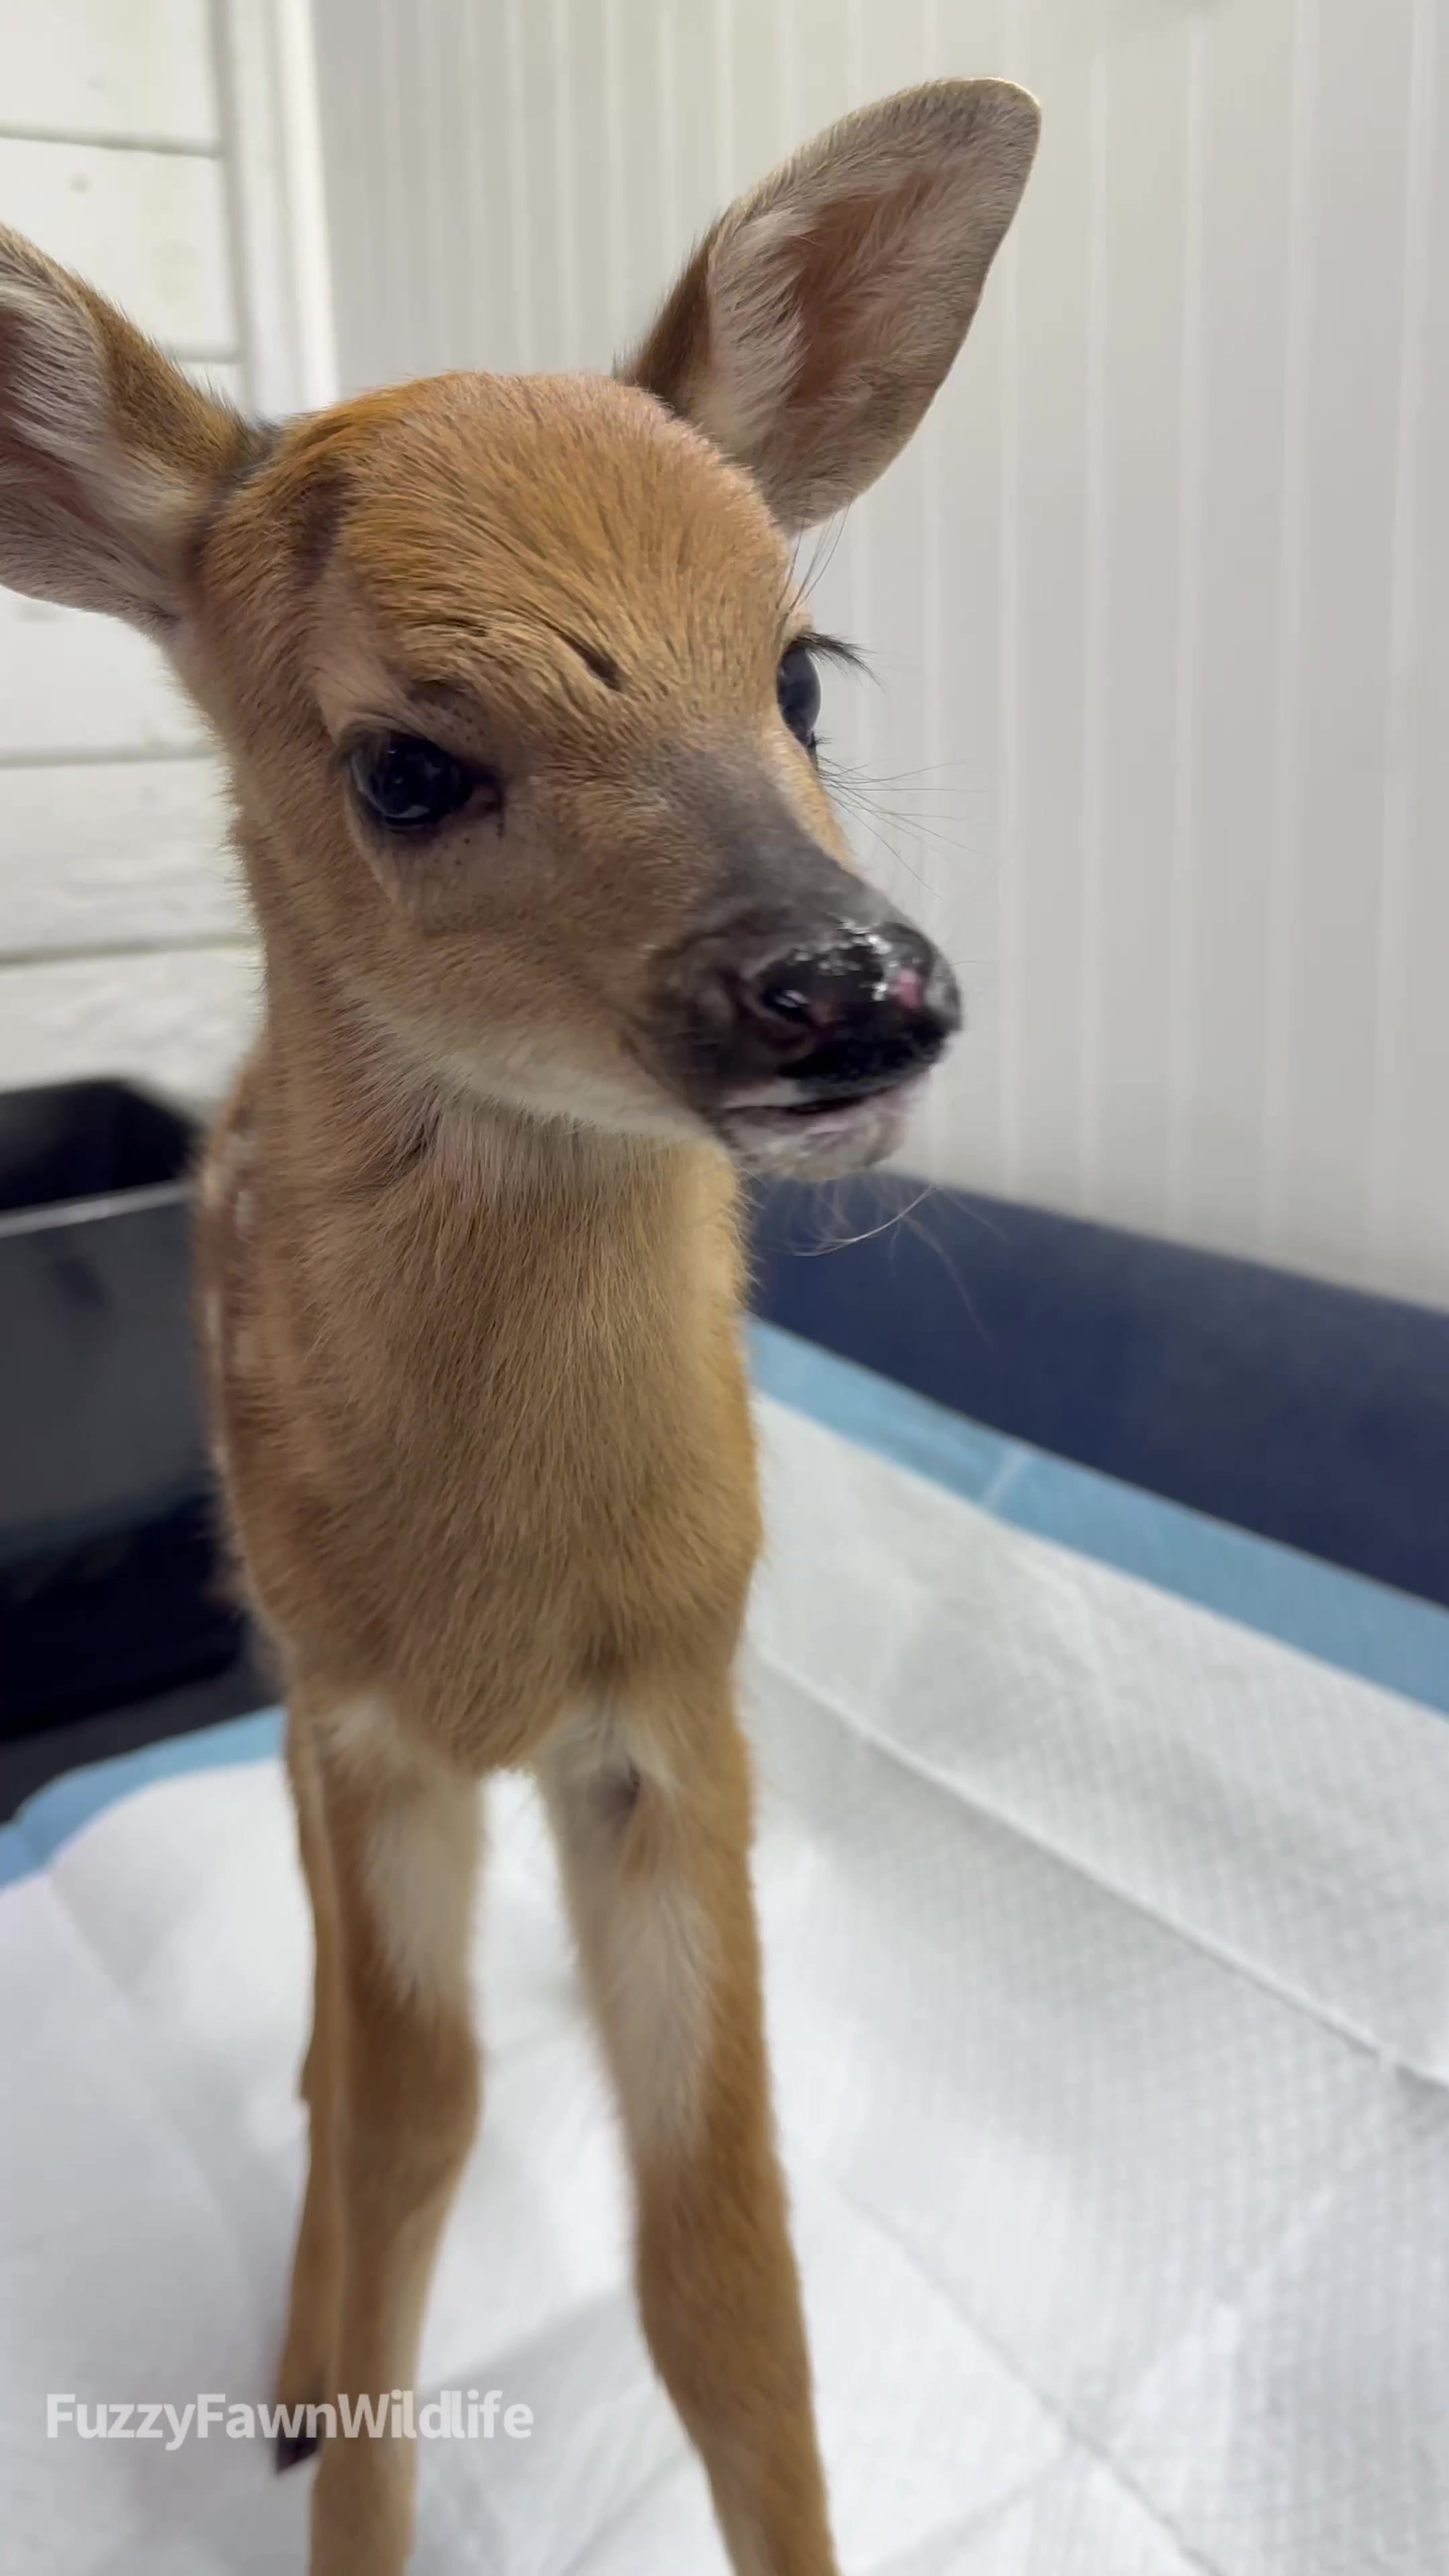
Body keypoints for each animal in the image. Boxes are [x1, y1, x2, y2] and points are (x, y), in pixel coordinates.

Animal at [0, 77, 1037, 2575]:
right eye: (404, 762)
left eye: (802, 666)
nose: (847, 983)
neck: (499, 1597)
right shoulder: (374, 1728)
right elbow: (407, 2168)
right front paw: (323, 2415)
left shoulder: (674, 1707)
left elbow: (723, 2278)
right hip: (283, 1638)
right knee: (334, 2014)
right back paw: (283, 2344)